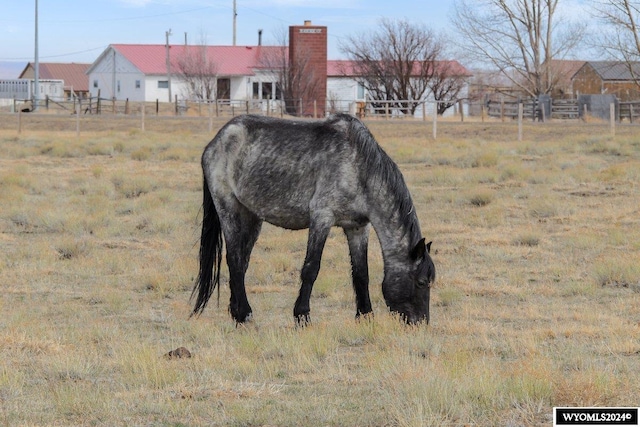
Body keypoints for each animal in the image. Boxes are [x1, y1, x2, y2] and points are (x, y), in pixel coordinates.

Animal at [191, 113, 436, 324]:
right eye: (422, 282)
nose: (420, 323)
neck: (358, 167)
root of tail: (217, 141)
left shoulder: (358, 228)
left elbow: (361, 273)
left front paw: (365, 315)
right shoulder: (322, 218)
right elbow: (311, 268)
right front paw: (302, 316)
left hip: (251, 217)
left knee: (241, 262)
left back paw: (236, 312)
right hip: (228, 209)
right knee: (234, 259)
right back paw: (244, 314)